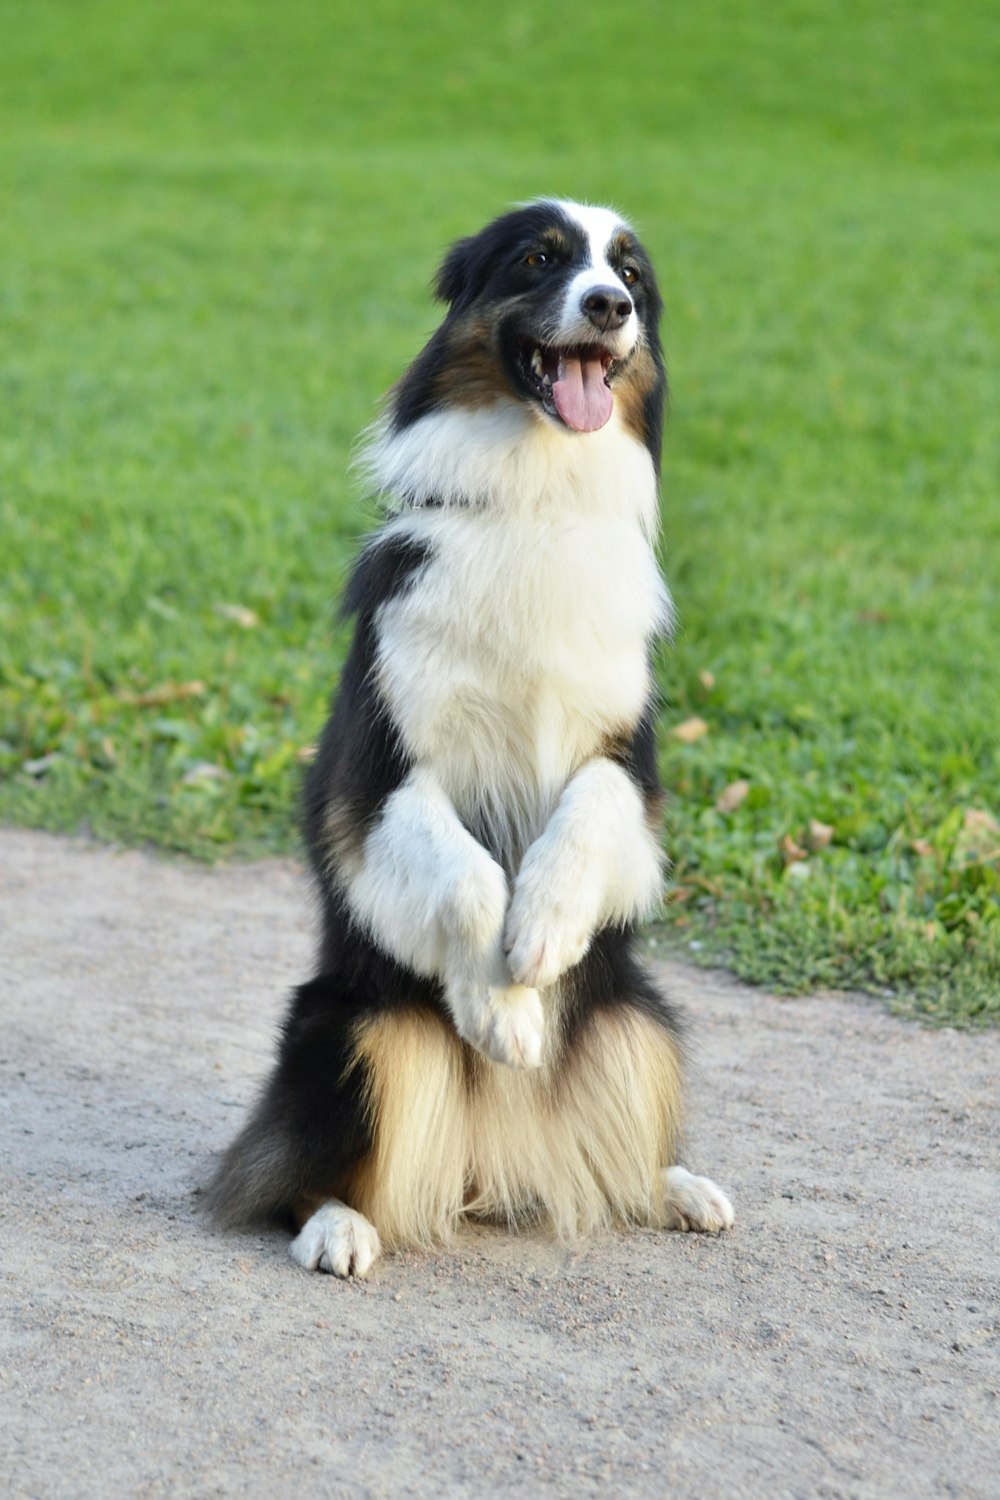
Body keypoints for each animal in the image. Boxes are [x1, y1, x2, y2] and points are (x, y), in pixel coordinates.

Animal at [205, 199, 734, 1278]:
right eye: (538, 258)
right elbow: (466, 873)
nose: (607, 307)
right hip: (359, 1027)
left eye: (630, 274)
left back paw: (676, 1186)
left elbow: (582, 819)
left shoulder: (626, 762)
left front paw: (543, 937)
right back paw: (337, 1226)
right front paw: (503, 1007)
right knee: (295, 1173)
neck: (538, 488)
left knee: (619, 1147)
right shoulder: (375, 775)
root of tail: (492, 1163)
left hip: (638, 1020)